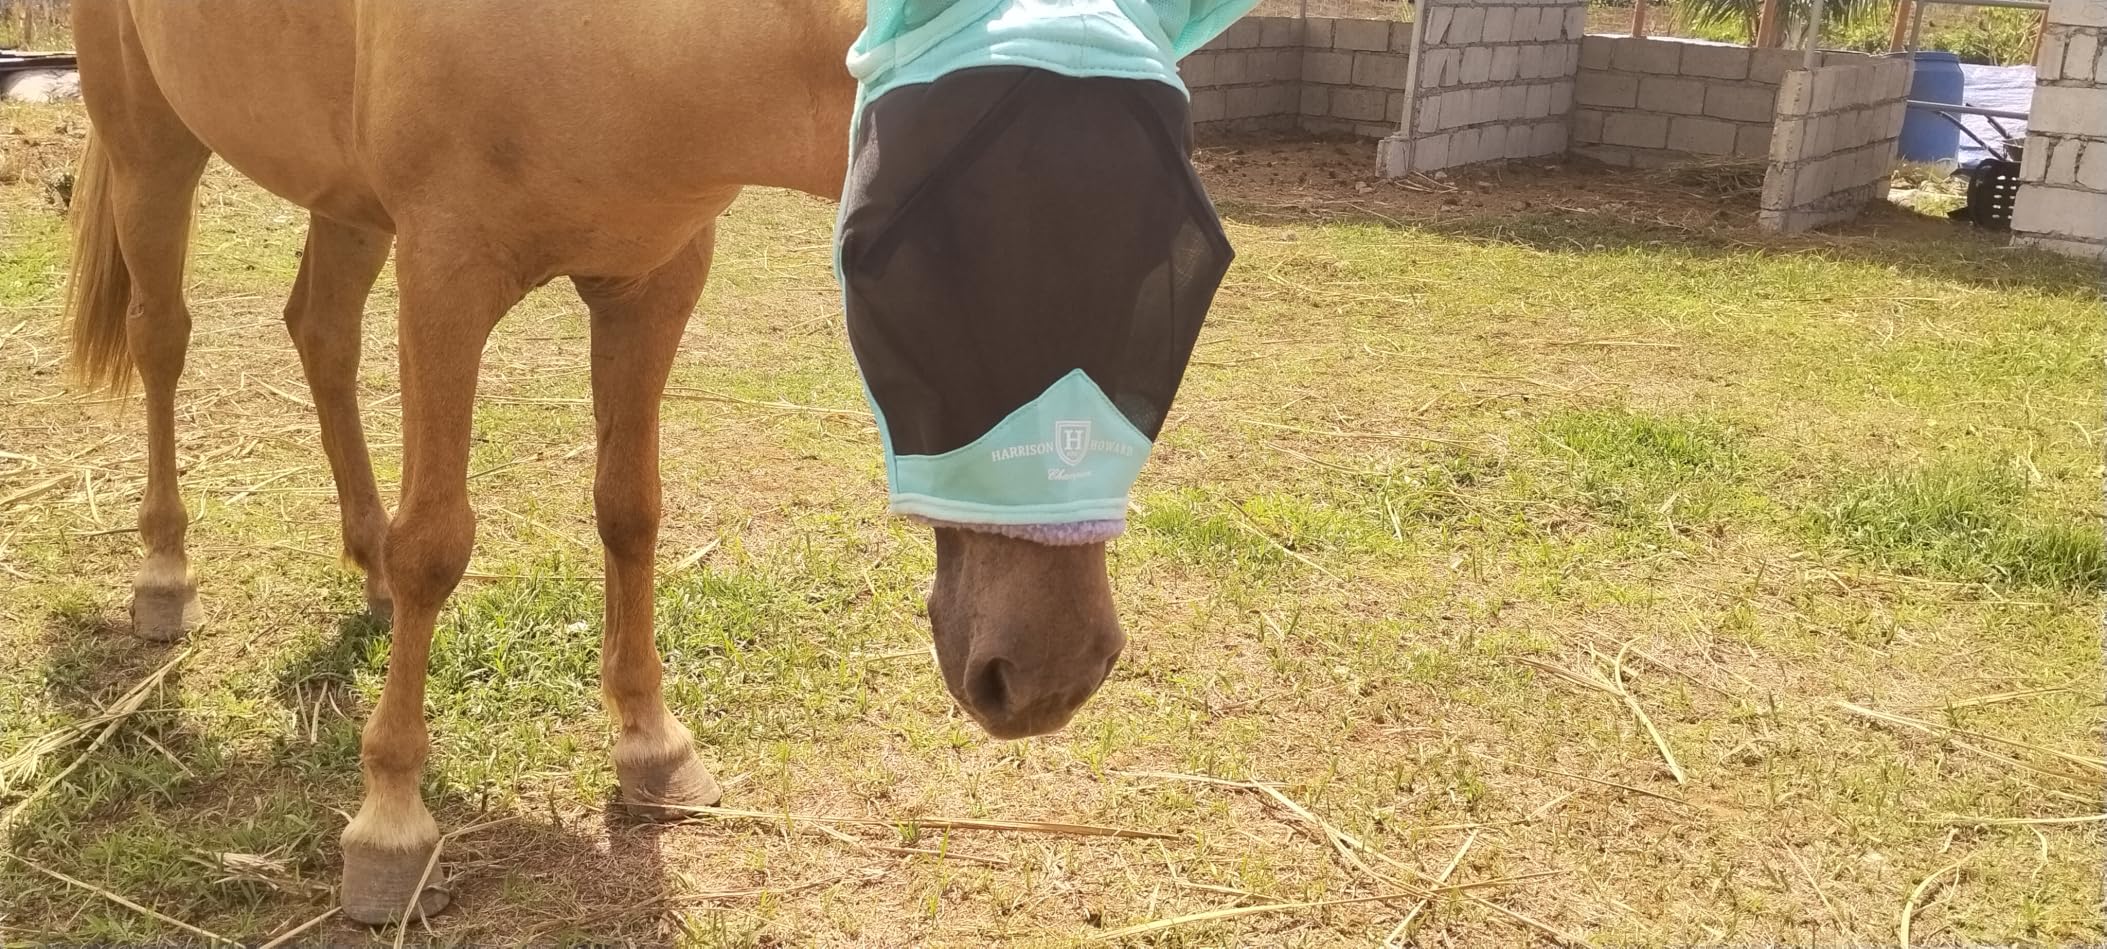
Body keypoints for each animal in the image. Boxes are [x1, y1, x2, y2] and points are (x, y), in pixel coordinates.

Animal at [63, 0, 1132, 922]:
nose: (1051, 668)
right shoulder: (444, 277)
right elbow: (436, 544)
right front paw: (391, 829)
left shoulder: (652, 280)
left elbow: (629, 508)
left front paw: (650, 746)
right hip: (153, 144)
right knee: (164, 336)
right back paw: (164, 574)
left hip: (344, 197)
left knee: (322, 333)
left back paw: (364, 566)